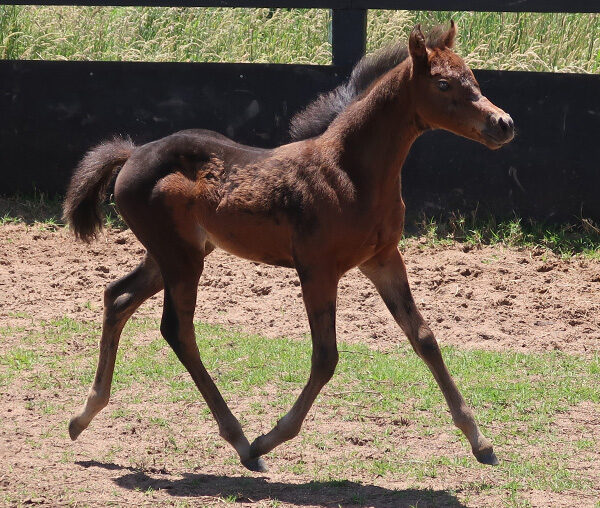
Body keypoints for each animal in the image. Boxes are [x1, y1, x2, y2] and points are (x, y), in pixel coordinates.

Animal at [65, 21, 516, 470]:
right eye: (443, 83)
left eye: (473, 78)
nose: (504, 123)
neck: (351, 173)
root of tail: (133, 153)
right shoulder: (317, 269)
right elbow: (326, 357)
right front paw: (270, 439)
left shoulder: (383, 259)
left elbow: (424, 337)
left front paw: (480, 441)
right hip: (181, 259)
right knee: (177, 329)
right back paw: (242, 442)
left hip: (176, 254)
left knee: (118, 297)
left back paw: (83, 415)